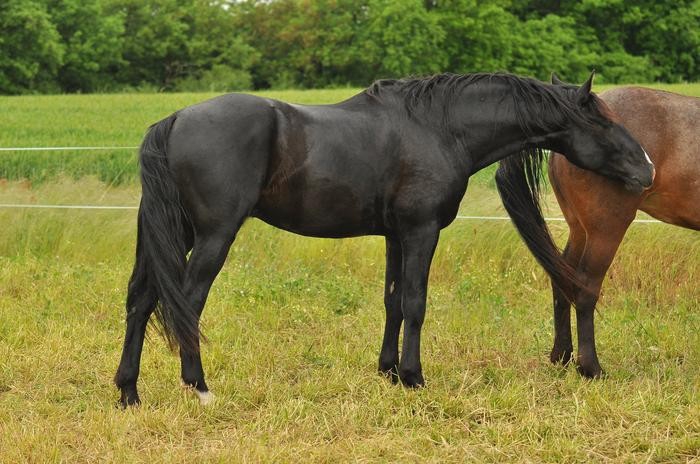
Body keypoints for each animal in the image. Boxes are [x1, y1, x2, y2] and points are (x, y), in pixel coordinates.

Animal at [114, 72, 655, 407]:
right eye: (602, 120)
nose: (648, 168)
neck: (440, 128)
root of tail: (176, 119)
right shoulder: (420, 231)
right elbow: (415, 302)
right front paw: (414, 377)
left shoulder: (397, 235)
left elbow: (393, 302)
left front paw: (389, 372)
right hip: (213, 236)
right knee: (187, 303)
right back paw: (199, 387)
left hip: (172, 234)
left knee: (141, 300)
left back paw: (128, 393)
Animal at [497, 80, 698, 378]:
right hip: (605, 232)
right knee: (586, 287)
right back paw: (590, 367)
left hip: (579, 229)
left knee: (563, 276)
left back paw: (562, 356)